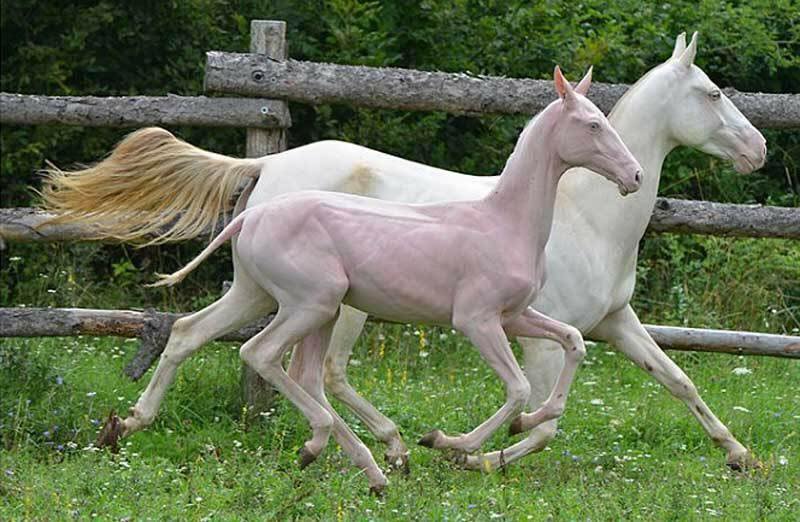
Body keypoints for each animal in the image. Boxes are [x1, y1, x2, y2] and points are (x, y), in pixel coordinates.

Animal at [45, 33, 764, 472]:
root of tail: (269, 167)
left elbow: (678, 379)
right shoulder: (530, 330)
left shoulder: (614, 321)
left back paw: (129, 425)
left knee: (195, 335)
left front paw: (740, 455)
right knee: (320, 371)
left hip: (266, 293)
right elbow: (542, 415)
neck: (584, 213)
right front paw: (478, 454)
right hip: (333, 305)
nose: (757, 149)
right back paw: (385, 446)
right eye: (713, 93)